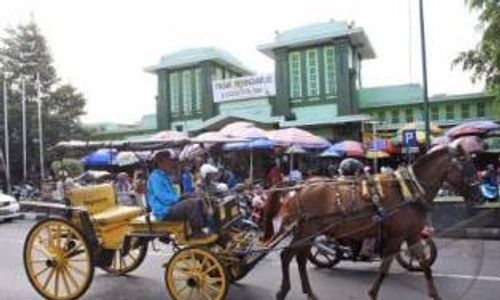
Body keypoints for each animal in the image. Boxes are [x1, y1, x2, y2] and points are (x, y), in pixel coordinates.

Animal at [264, 142, 482, 300]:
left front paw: (435, 295)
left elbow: (425, 266)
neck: (409, 190)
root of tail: (299, 186)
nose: (479, 196)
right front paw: (372, 293)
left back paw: (309, 291)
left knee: (300, 259)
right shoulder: (395, 236)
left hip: (309, 232)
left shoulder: (412, 235)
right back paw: (283, 291)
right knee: (287, 256)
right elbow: (384, 267)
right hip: (307, 230)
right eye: (466, 164)